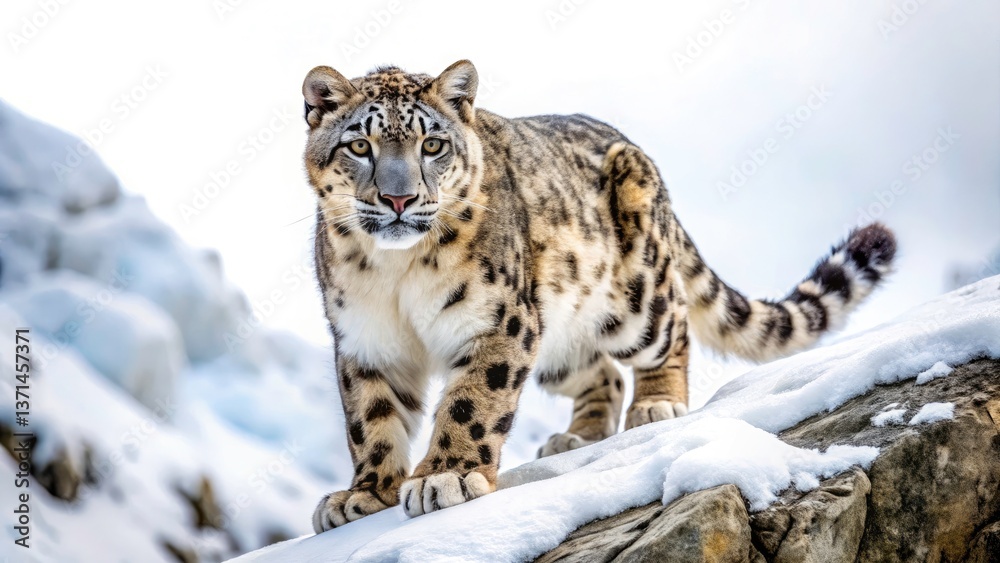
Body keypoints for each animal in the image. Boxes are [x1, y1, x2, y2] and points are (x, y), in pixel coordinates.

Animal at [302, 60, 897, 532]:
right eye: (360, 145)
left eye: (432, 144)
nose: (399, 199)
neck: (396, 274)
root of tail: (641, 156)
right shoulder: (364, 340)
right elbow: (371, 419)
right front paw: (363, 495)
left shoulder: (497, 319)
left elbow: (473, 399)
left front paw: (446, 476)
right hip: (558, 338)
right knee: (602, 372)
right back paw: (577, 438)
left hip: (635, 296)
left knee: (672, 326)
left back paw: (656, 404)